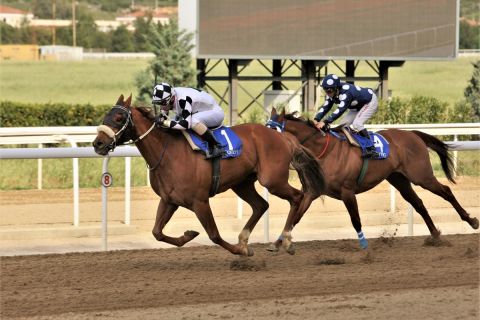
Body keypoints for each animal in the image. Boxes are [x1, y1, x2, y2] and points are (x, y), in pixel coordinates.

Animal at [93, 95, 326, 255]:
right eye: (106, 115)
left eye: (119, 117)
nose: (98, 144)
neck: (168, 153)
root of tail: (284, 137)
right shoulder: (169, 200)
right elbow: (157, 232)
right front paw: (189, 235)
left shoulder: (200, 201)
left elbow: (213, 234)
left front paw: (239, 251)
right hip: (242, 183)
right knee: (261, 205)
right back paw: (246, 239)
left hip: (272, 179)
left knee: (297, 197)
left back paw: (285, 240)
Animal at [268, 107, 478, 250]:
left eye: (271, 131)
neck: (323, 151)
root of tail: (412, 134)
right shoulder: (312, 191)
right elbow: (296, 216)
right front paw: (279, 242)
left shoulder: (347, 191)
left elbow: (355, 220)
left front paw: (364, 246)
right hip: (399, 179)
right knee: (418, 203)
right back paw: (435, 235)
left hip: (421, 176)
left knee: (446, 191)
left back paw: (471, 220)